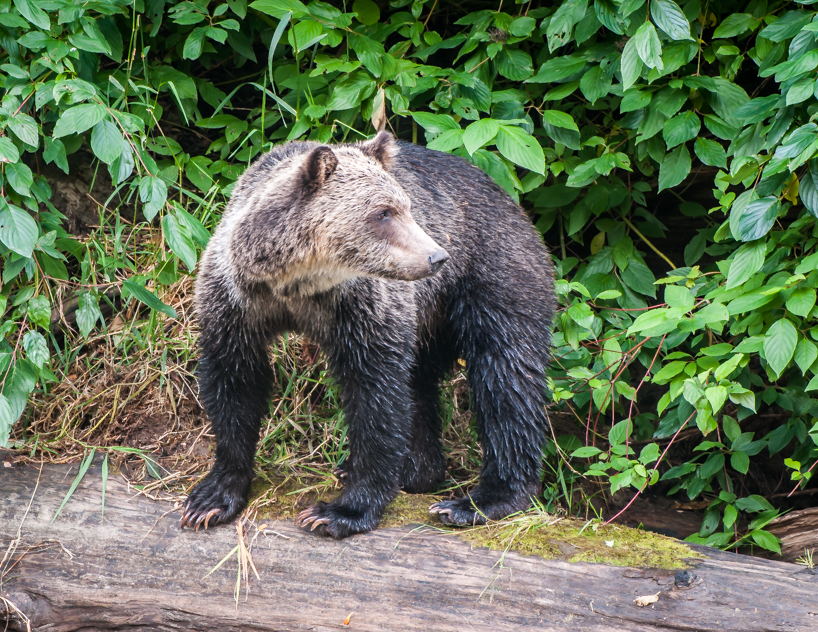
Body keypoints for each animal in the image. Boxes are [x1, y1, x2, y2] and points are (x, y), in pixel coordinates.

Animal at [180, 131, 555, 538]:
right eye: (383, 213)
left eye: (407, 207)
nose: (438, 257)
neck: (296, 284)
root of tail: (511, 201)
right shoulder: (236, 303)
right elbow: (234, 383)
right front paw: (211, 499)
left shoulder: (360, 307)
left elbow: (375, 395)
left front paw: (340, 510)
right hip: (428, 318)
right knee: (421, 384)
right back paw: (414, 470)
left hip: (495, 276)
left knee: (505, 376)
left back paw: (479, 500)